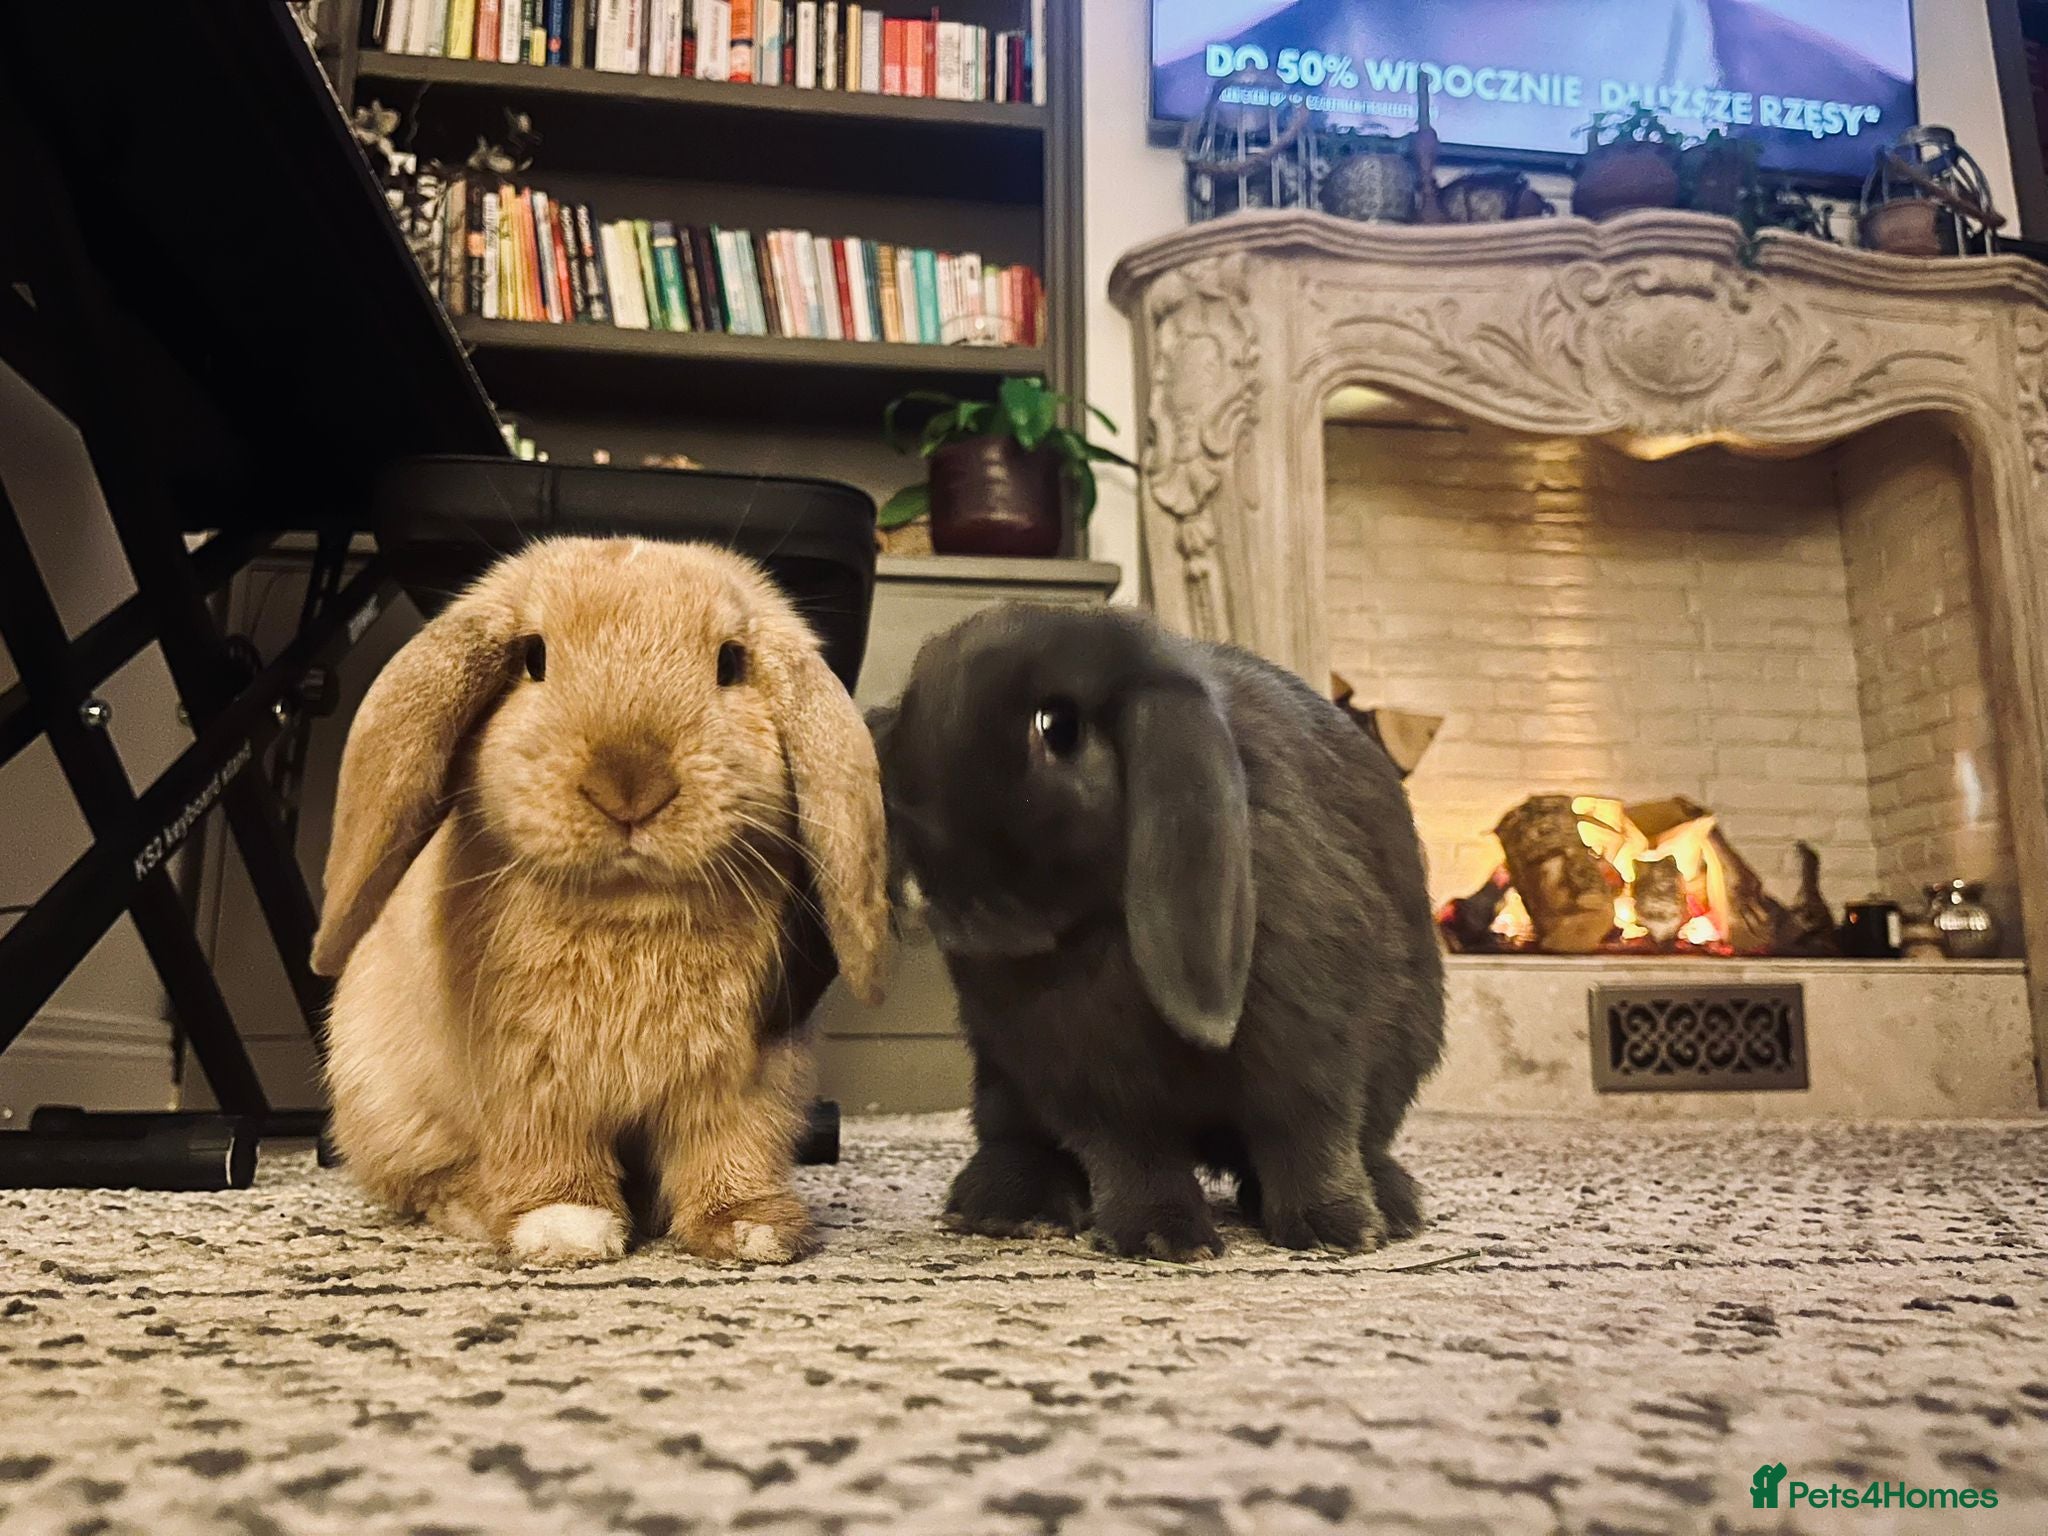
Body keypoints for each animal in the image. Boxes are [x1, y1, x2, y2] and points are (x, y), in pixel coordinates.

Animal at [310, 536, 888, 1268]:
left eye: (730, 662)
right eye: (533, 657)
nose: (631, 784)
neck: (629, 903)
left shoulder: (744, 1078)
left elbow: (732, 1148)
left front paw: (751, 1230)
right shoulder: (528, 1077)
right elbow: (545, 1149)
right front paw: (565, 1230)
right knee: (423, 1182)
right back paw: (474, 1208)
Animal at [872, 603, 1443, 1261]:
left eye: (1057, 729)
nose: (948, 909)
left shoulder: (1311, 1044)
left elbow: (1307, 1135)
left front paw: (1338, 1231)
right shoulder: (1087, 1078)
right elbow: (1132, 1156)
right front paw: (1163, 1238)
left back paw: (1394, 1204)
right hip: (998, 1077)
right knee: (1014, 1137)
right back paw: (1005, 1208)